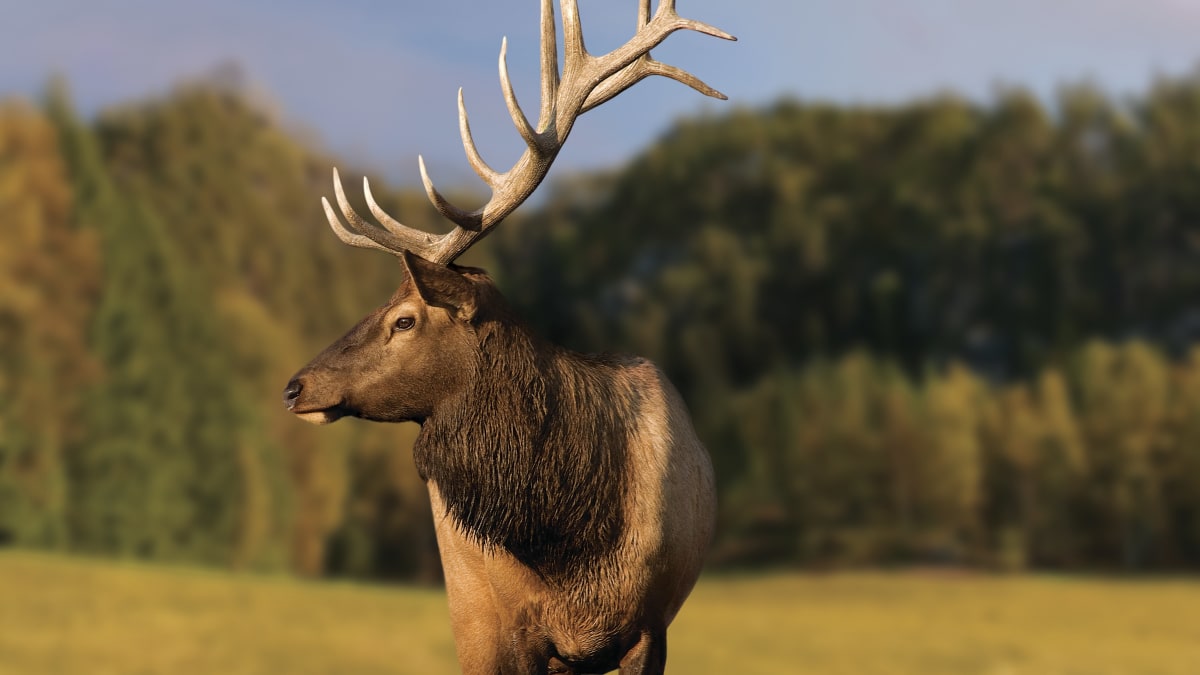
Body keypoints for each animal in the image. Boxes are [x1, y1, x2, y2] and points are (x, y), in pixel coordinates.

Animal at [282, 1, 733, 673]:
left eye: (404, 319)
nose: (294, 387)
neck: (573, 545)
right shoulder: (504, 627)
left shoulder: (651, 625)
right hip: (469, 609)